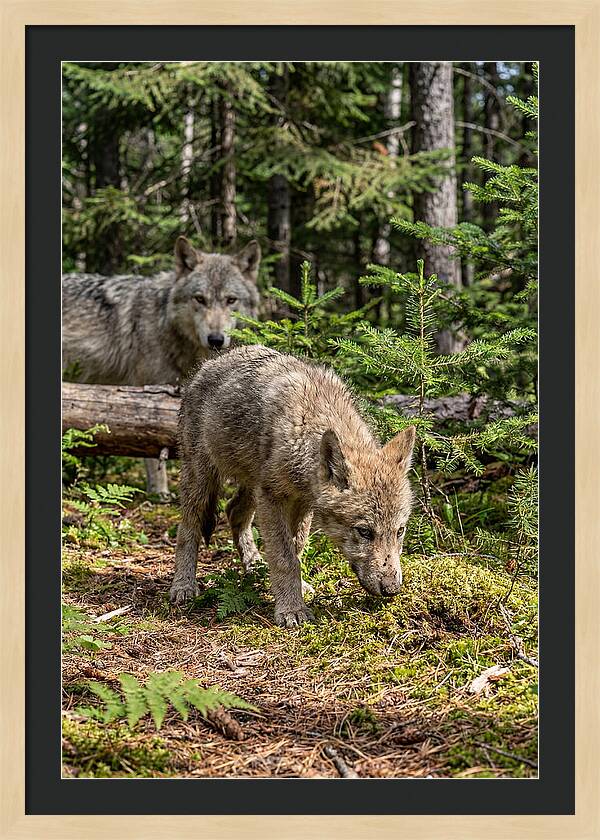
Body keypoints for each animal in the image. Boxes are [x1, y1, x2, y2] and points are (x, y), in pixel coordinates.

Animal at [62, 236, 261, 496]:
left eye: (231, 300)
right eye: (200, 299)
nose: (216, 339)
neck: (164, 323)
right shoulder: (149, 394)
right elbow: (152, 449)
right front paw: (159, 493)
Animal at [170, 345, 416, 627]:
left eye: (400, 531)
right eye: (364, 532)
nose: (391, 589)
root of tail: (207, 364)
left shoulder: (302, 503)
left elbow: (296, 550)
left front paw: (295, 590)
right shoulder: (273, 498)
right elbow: (285, 557)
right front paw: (291, 610)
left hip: (252, 486)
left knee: (234, 511)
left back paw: (255, 566)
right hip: (202, 480)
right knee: (188, 528)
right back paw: (183, 585)